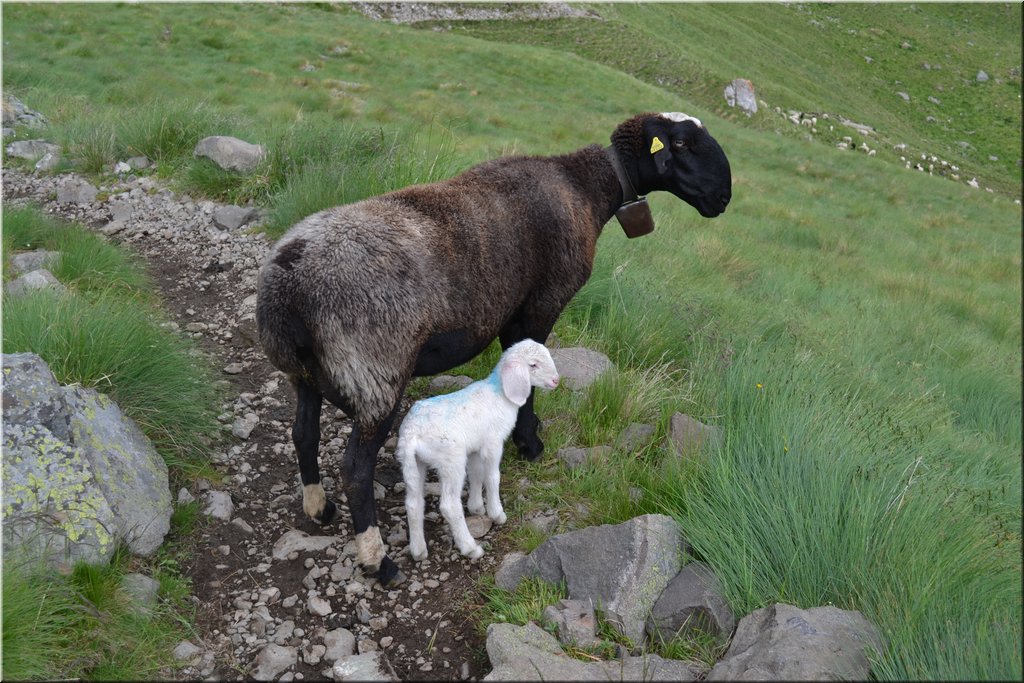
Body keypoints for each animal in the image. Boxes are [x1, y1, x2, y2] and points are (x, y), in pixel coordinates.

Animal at [397, 339, 561, 561]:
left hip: (412, 463)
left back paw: (418, 550)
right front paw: (496, 513)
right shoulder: (493, 442)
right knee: (449, 505)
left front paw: (476, 507)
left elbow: (476, 473)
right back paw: (470, 547)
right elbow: (492, 476)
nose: (556, 381)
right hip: (451, 460)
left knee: (413, 503)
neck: (500, 394)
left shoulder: (475, 446)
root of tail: (412, 435)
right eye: (533, 365)